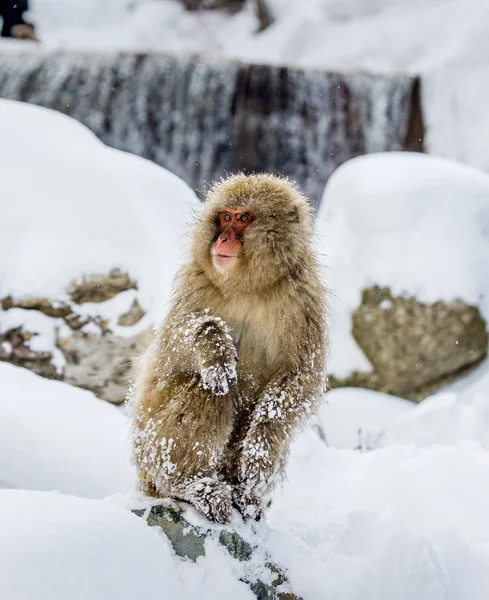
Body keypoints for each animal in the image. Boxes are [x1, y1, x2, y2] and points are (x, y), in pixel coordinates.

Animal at [132, 172, 326, 520]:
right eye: (225, 216)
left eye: (244, 218)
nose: (222, 239)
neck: (250, 286)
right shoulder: (196, 283)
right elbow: (173, 347)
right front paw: (215, 348)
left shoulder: (304, 299)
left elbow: (298, 378)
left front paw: (259, 452)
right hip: (146, 446)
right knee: (206, 390)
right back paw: (192, 485)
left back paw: (242, 492)